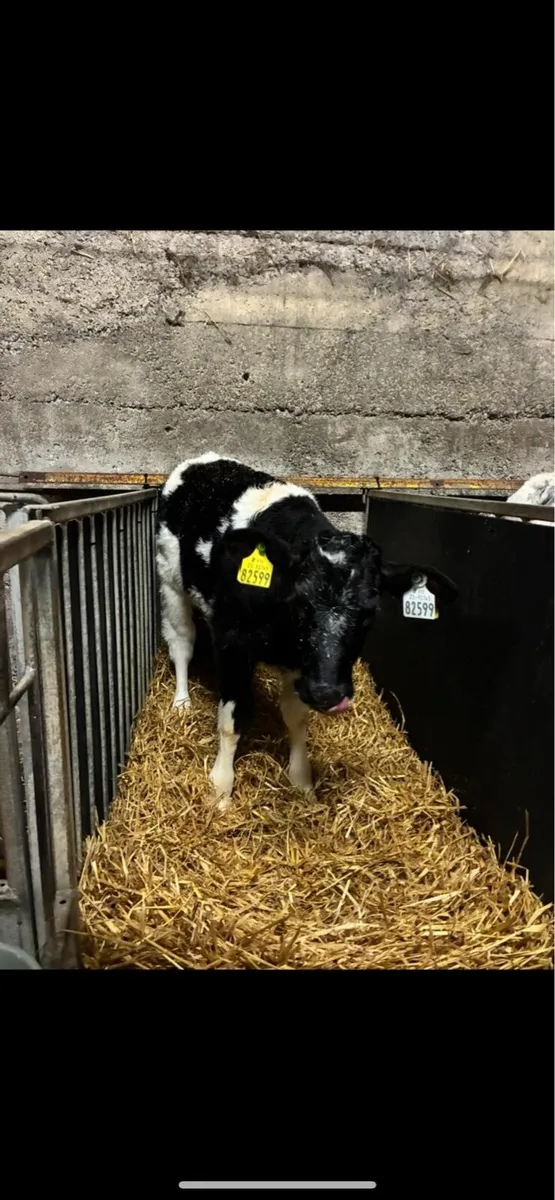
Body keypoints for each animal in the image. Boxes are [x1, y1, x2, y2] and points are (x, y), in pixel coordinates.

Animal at [156, 453, 457, 810]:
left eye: (370, 612)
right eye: (299, 603)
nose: (327, 693)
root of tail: (206, 460)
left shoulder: (303, 664)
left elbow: (296, 716)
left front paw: (301, 780)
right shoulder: (232, 643)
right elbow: (232, 720)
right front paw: (221, 789)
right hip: (170, 579)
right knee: (182, 643)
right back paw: (181, 702)